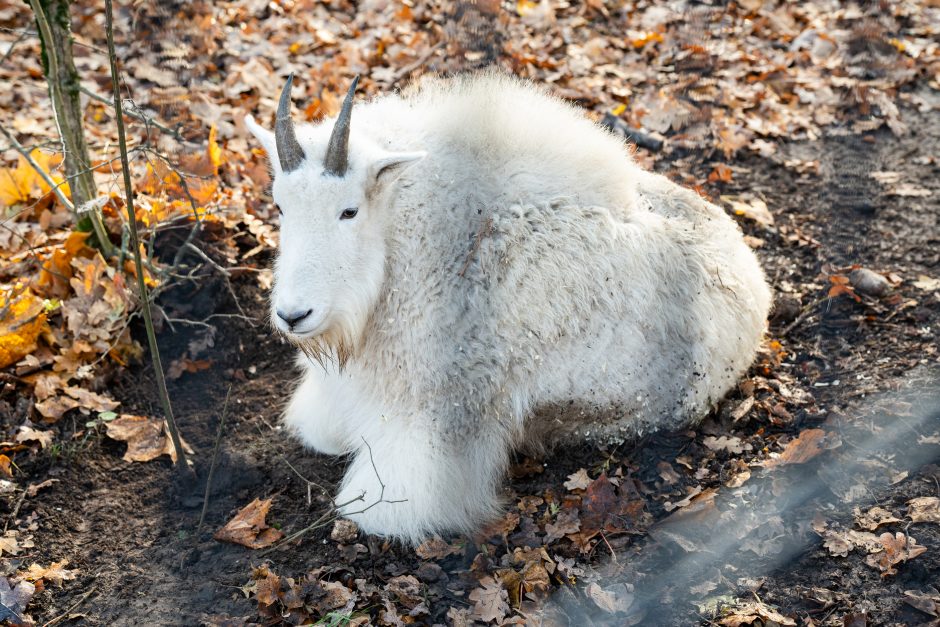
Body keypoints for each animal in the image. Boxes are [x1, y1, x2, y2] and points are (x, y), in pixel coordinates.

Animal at [246, 72, 776, 544]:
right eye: (280, 206)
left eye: (349, 210)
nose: (293, 315)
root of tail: (757, 287)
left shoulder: (438, 421)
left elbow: (374, 507)